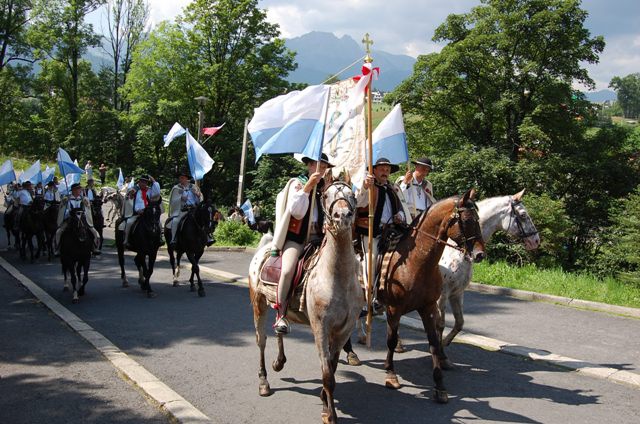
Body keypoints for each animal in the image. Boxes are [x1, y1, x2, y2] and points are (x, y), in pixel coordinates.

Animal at [248, 181, 362, 422]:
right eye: (326, 195)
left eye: (352, 195)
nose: (342, 216)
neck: (337, 277)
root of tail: (266, 246)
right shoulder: (320, 327)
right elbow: (327, 374)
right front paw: (330, 414)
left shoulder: (344, 330)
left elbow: (333, 367)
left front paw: (324, 402)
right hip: (258, 303)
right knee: (261, 340)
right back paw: (264, 382)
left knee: (279, 326)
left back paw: (279, 361)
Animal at [378, 189, 482, 404]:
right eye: (467, 220)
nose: (479, 254)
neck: (416, 263)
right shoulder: (394, 309)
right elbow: (390, 340)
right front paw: (391, 374)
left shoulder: (428, 308)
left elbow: (434, 342)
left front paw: (440, 386)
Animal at [436, 189, 540, 364]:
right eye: (523, 215)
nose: (536, 241)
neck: (455, 252)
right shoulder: (441, 295)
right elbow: (439, 323)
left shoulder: (457, 293)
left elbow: (459, 323)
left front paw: (444, 343)